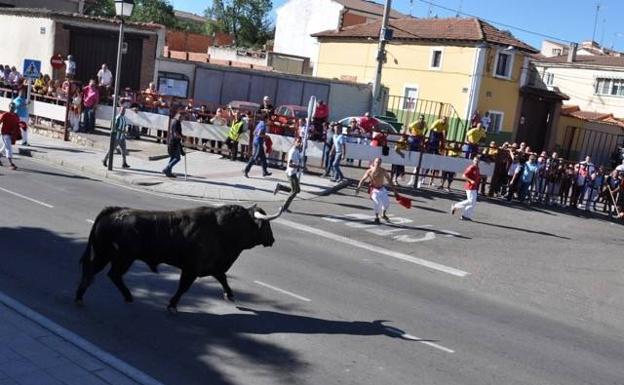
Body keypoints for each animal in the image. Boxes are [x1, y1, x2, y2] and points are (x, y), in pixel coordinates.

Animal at [74, 206, 282, 310]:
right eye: (266, 225)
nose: (272, 239)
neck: (222, 228)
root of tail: (113, 212)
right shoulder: (192, 268)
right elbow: (184, 287)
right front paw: (172, 305)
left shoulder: (212, 266)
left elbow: (223, 279)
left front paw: (229, 295)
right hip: (121, 258)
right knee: (111, 274)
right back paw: (126, 296)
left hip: (103, 253)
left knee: (93, 271)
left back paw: (80, 297)